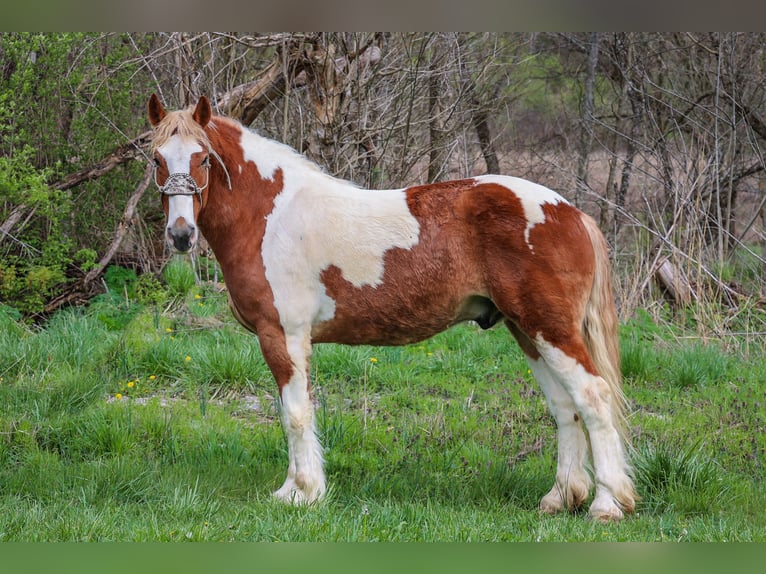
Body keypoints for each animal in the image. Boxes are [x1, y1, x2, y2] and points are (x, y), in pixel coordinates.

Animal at [147, 93, 640, 520]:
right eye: (156, 159)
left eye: (203, 158)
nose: (180, 235)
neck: (271, 216)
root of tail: (570, 212)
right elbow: (294, 412)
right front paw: (294, 490)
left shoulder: (283, 335)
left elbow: (295, 414)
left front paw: (303, 494)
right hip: (528, 330)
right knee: (564, 406)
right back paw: (560, 498)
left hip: (549, 329)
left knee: (593, 398)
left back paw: (606, 505)